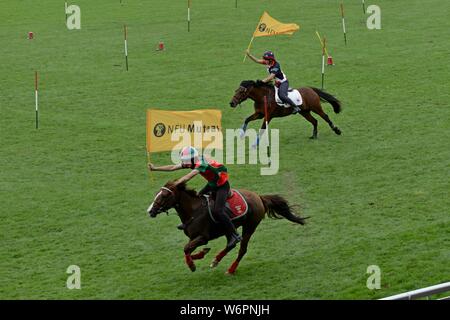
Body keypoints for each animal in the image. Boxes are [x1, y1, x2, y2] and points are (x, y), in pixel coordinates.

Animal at [147, 181, 306, 274]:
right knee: (231, 243)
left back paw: (231, 269)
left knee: (242, 248)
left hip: (250, 226)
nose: (151, 211)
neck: (193, 210)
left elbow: (186, 249)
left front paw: (192, 264)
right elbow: (188, 249)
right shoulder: (194, 238)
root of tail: (259, 197)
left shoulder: (203, 237)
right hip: (229, 228)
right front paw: (201, 254)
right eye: (157, 193)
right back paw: (216, 260)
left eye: (164, 195)